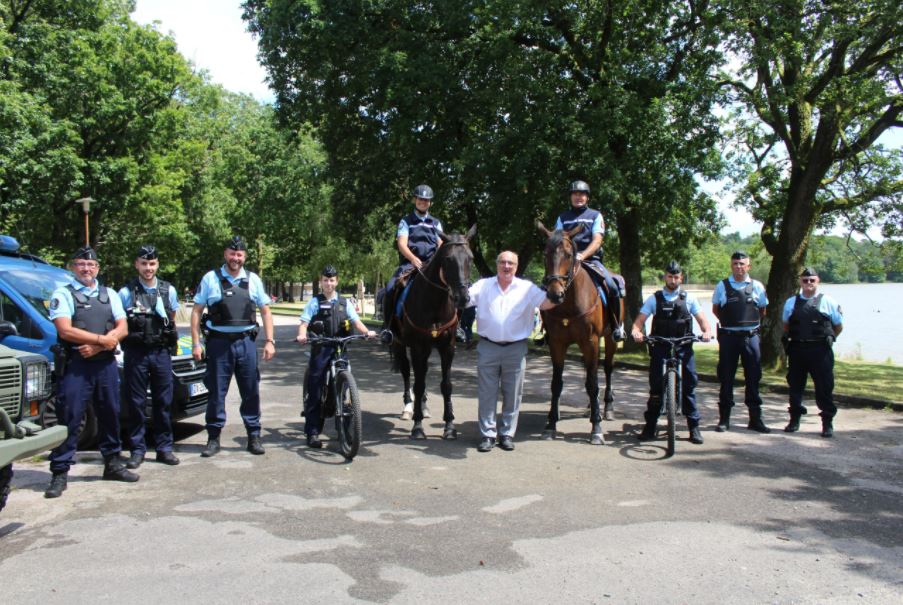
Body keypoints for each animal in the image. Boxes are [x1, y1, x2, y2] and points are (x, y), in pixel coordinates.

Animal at [384, 226, 476, 438]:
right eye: (448, 259)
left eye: (471, 258)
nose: (463, 298)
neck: (434, 303)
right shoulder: (418, 347)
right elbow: (417, 385)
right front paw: (417, 426)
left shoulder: (447, 347)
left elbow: (446, 385)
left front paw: (449, 426)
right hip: (400, 344)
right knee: (407, 373)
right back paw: (409, 408)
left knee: (423, 375)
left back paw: (424, 407)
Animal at [536, 222, 620, 444]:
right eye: (545, 254)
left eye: (568, 254)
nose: (555, 294)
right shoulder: (557, 343)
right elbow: (557, 384)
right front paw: (550, 424)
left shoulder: (590, 342)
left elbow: (592, 383)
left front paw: (596, 428)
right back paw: (592, 407)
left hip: (610, 339)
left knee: (607, 369)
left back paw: (607, 408)